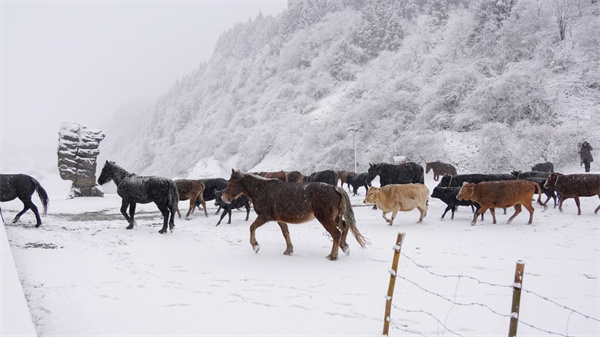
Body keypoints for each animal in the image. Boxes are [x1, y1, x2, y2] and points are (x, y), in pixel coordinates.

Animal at [223, 168, 368, 260]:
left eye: (230, 182)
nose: (224, 197)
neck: (262, 189)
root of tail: (335, 188)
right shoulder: (280, 219)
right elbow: (285, 233)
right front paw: (289, 250)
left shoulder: (265, 216)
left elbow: (252, 227)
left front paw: (256, 246)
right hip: (335, 218)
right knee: (345, 226)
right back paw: (345, 247)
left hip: (325, 219)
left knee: (336, 233)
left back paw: (333, 256)